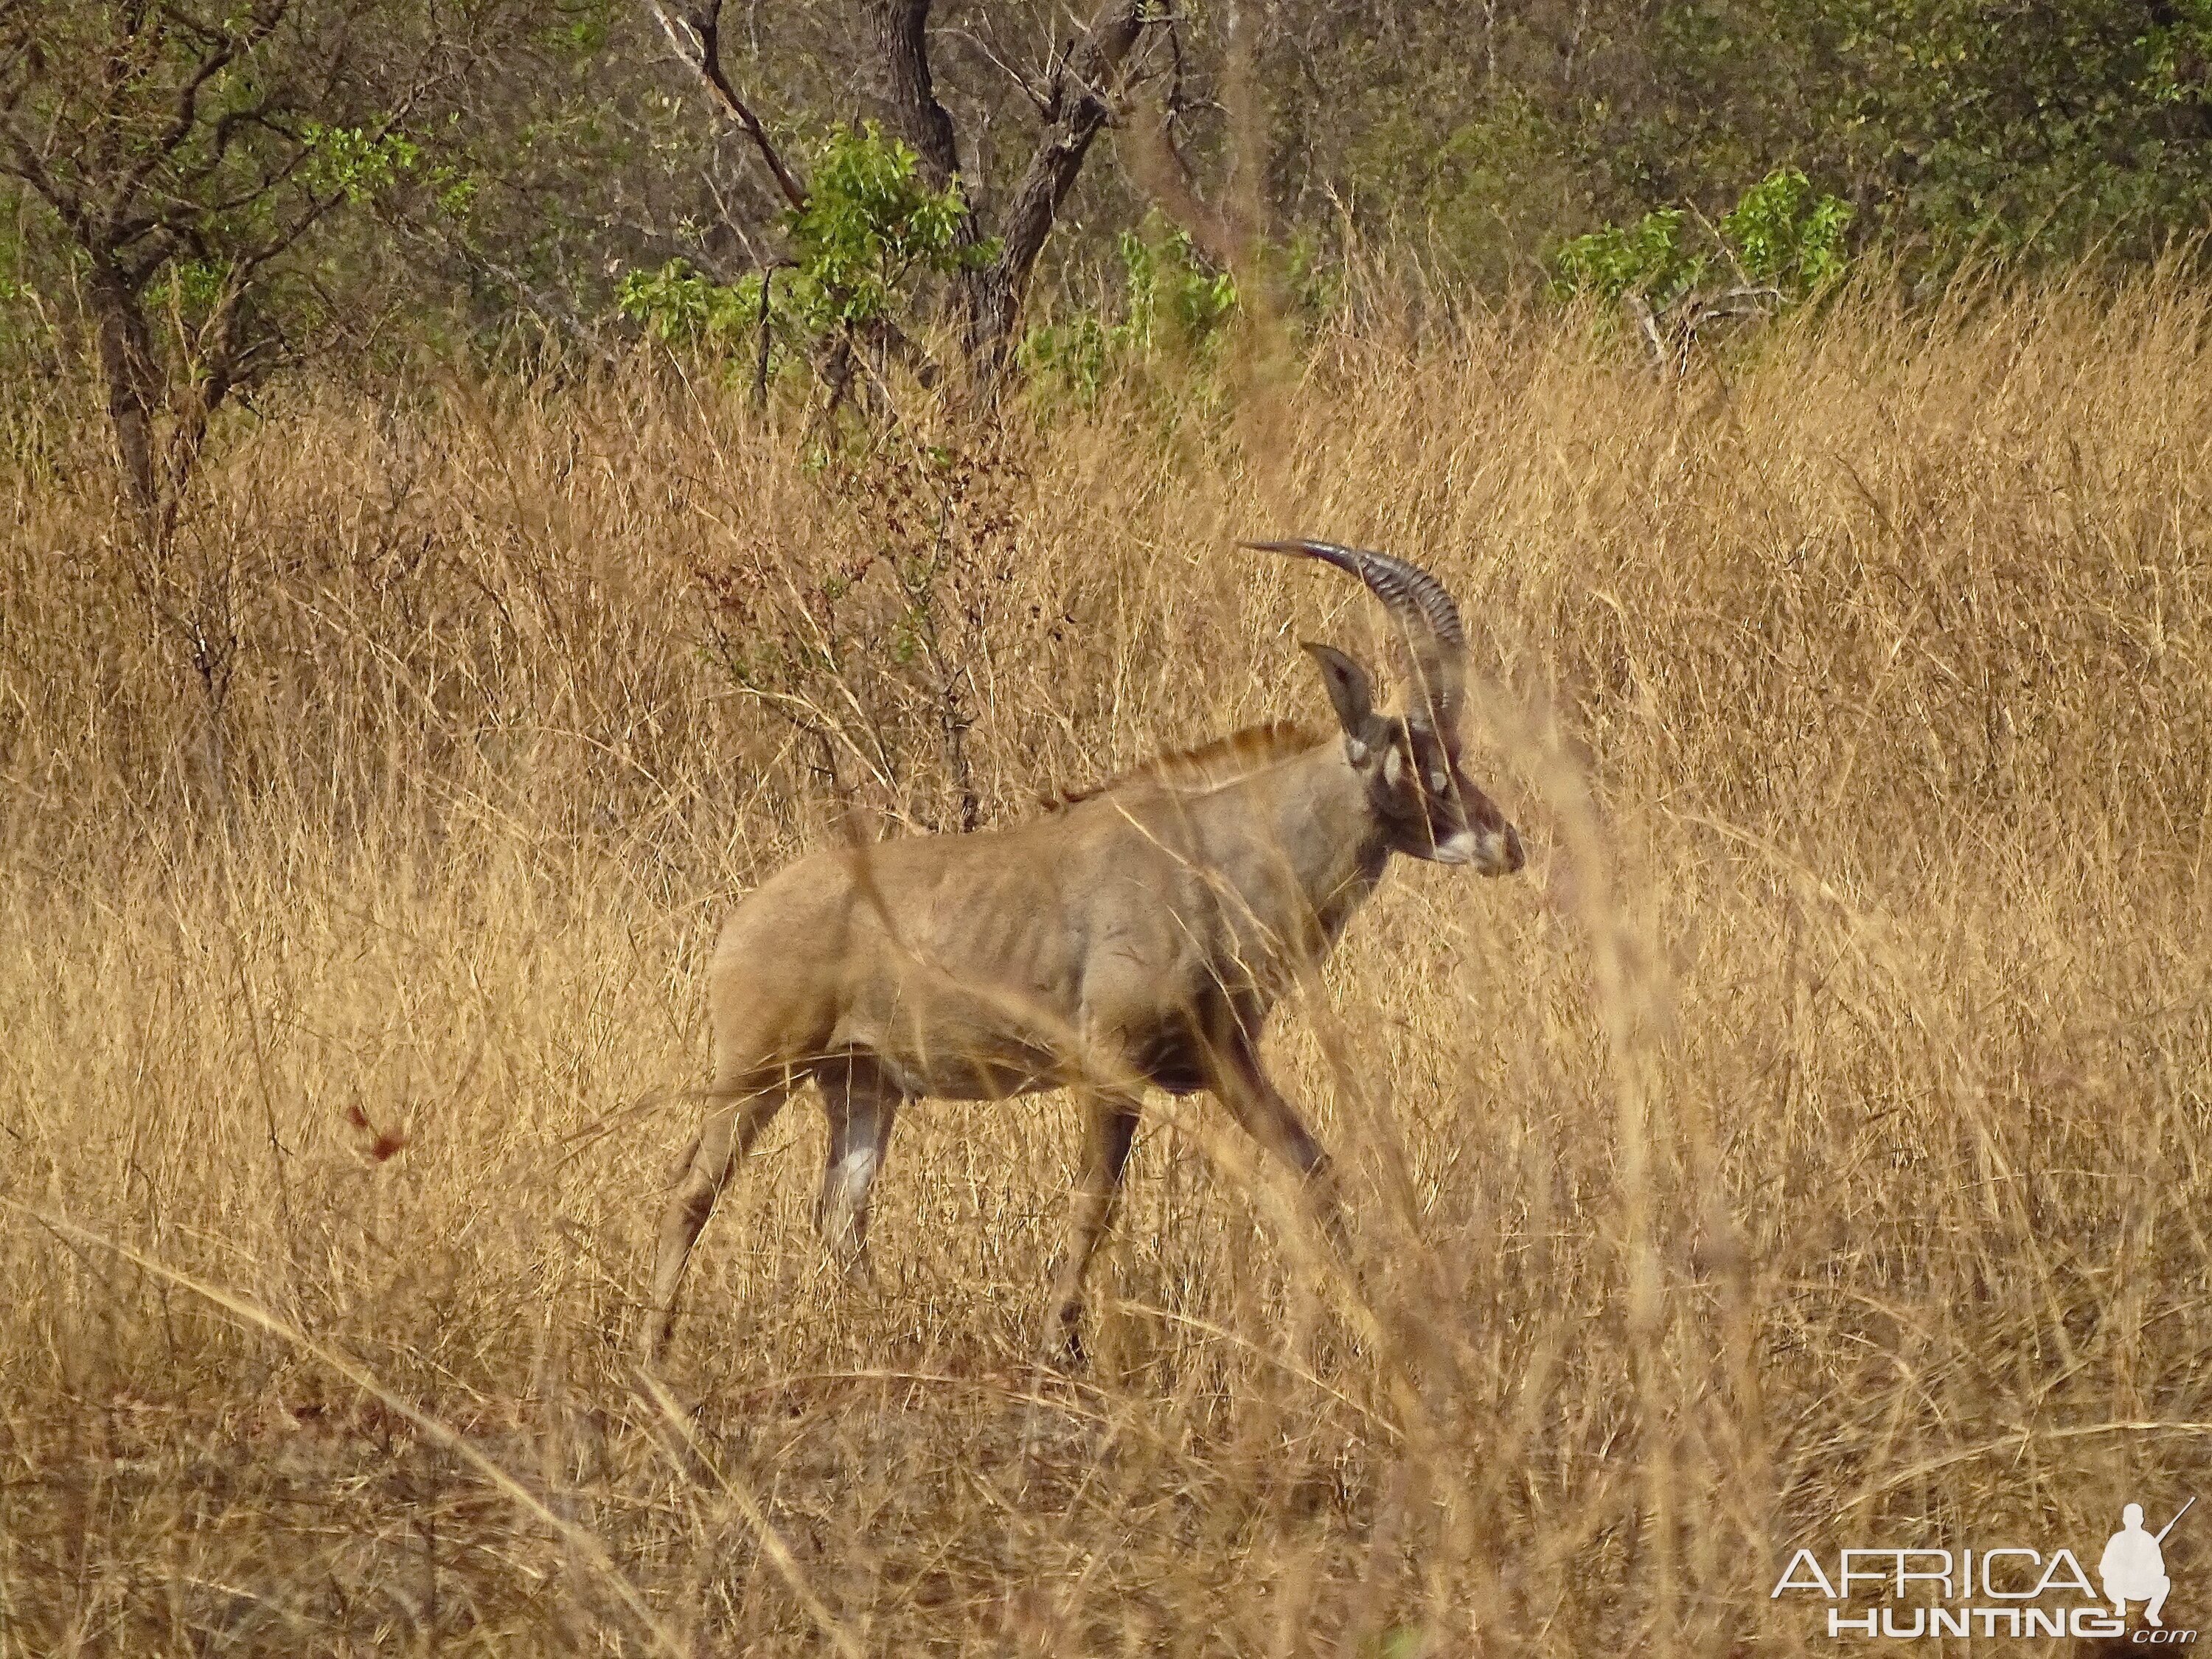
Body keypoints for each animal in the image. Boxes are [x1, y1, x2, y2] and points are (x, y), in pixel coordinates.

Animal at [646, 542, 1531, 1363]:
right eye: (1420, 761)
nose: (1506, 843)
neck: (1211, 854)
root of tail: (743, 919)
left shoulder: (1223, 1062)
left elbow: (1314, 1169)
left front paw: (1376, 1328)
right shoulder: (1113, 1065)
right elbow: (1095, 1202)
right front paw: (1056, 1348)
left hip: (862, 1085)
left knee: (840, 1217)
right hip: (757, 1072)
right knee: (692, 1190)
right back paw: (654, 1353)